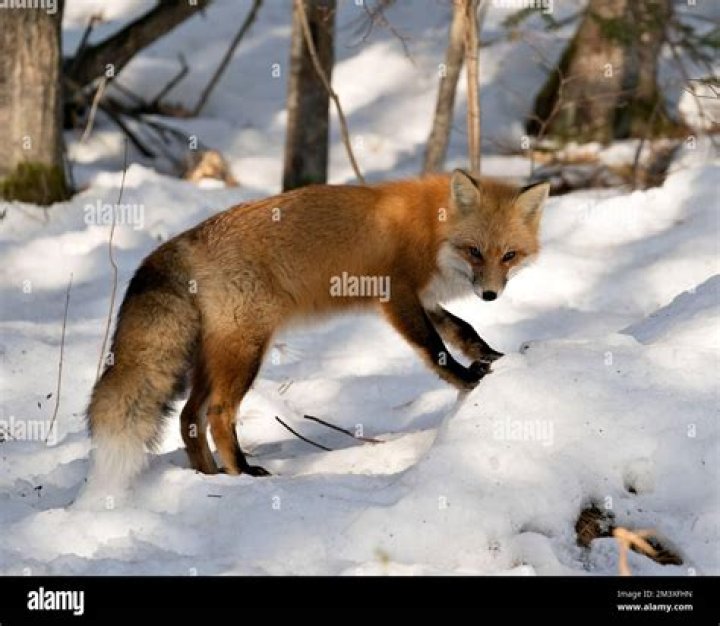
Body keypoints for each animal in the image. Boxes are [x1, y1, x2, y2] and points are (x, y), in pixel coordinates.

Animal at [85, 169, 549, 491]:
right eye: (474, 251)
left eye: (508, 255)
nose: (490, 294)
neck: (431, 230)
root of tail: (182, 240)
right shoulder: (396, 295)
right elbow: (434, 349)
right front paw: (467, 380)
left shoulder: (427, 300)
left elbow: (463, 330)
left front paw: (490, 356)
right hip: (246, 350)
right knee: (217, 414)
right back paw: (242, 471)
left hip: (213, 356)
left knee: (187, 417)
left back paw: (208, 477)